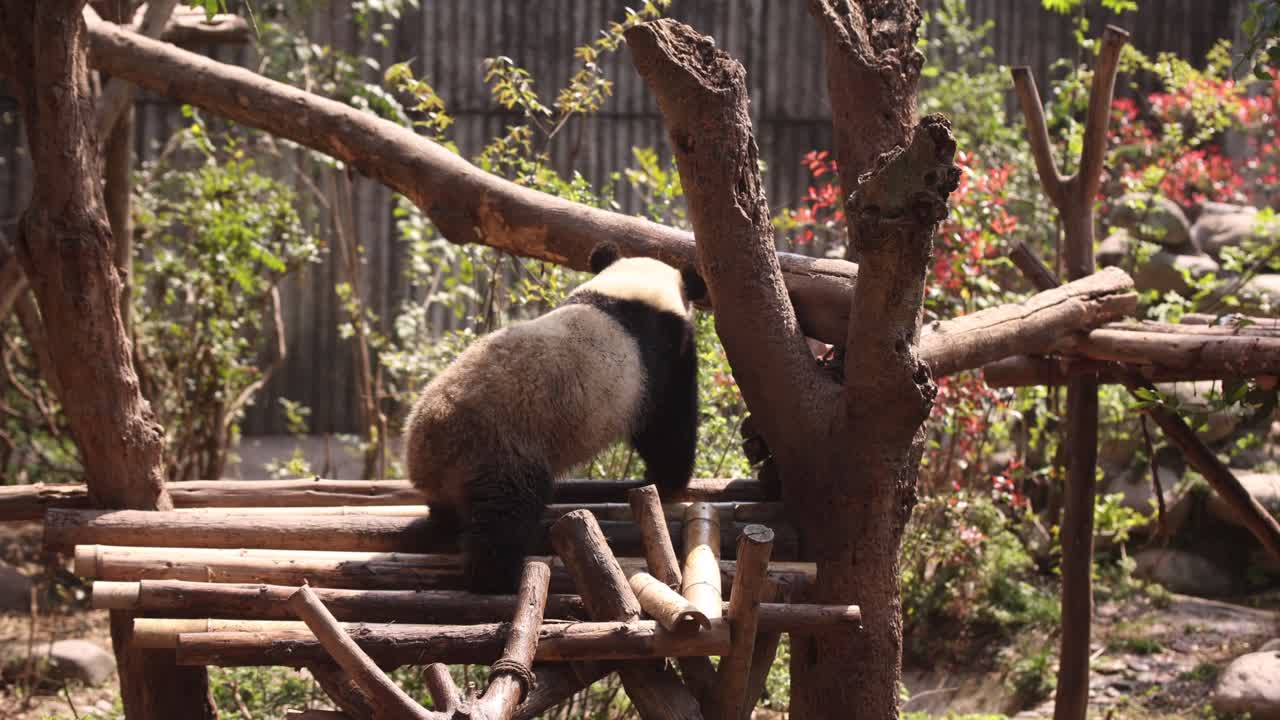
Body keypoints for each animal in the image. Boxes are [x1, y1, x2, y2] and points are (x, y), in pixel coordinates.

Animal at [404, 242, 707, 593]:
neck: (630, 290)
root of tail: (428, 448)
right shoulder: (661, 357)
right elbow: (667, 426)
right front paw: (670, 480)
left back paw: (448, 524)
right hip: (500, 451)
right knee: (505, 517)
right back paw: (498, 578)